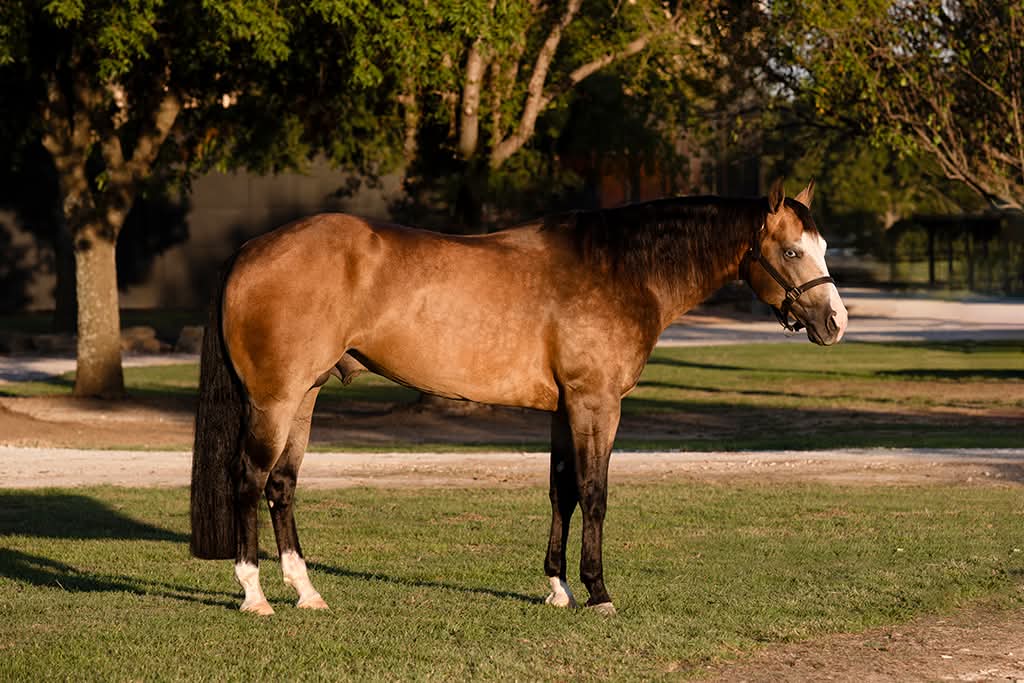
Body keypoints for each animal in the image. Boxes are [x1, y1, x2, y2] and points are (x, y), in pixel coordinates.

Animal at [190, 178, 847, 616]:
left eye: (823, 248)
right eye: (792, 251)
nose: (836, 322)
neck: (618, 269)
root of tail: (249, 250)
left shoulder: (564, 410)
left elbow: (561, 492)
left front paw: (558, 589)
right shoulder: (596, 404)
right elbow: (594, 494)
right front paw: (599, 593)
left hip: (304, 395)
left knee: (282, 484)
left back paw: (306, 592)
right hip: (274, 400)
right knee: (248, 478)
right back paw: (254, 596)